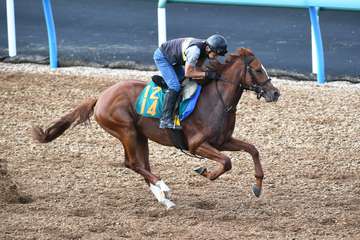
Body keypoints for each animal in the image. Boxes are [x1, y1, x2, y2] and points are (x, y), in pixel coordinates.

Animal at [32, 47, 280, 208]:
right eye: (258, 70)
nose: (275, 93)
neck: (216, 100)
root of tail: (101, 97)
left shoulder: (223, 141)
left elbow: (253, 149)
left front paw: (257, 186)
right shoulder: (197, 144)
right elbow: (227, 162)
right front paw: (205, 171)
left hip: (140, 136)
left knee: (142, 165)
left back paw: (164, 198)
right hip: (126, 131)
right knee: (132, 163)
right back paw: (164, 187)